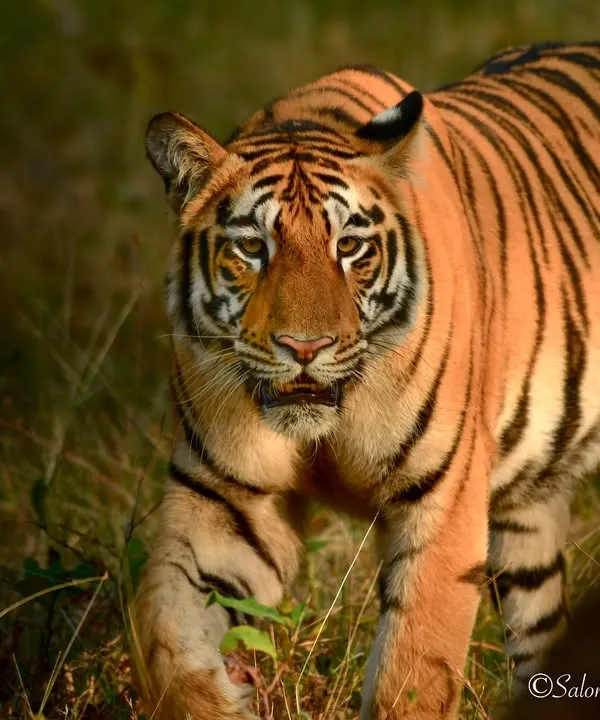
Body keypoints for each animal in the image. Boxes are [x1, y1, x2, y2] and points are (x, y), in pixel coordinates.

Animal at [133, 41, 600, 720]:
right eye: (253, 248)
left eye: (350, 247)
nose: (305, 347)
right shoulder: (225, 498)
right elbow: (165, 633)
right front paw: (221, 701)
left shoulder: (444, 498)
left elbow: (411, 673)